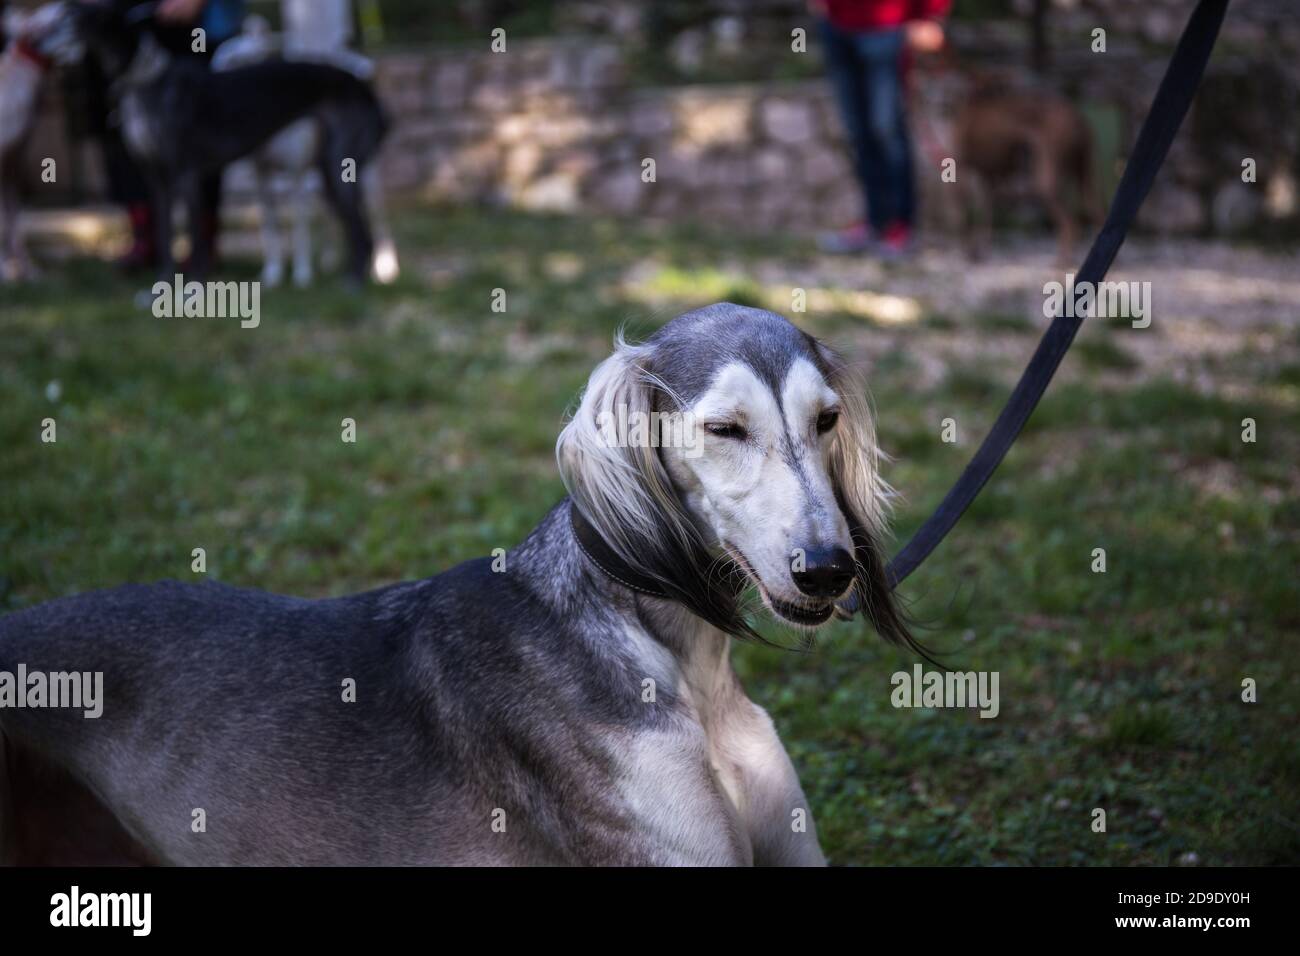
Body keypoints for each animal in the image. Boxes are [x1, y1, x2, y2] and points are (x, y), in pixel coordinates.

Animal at [70, 0, 387, 283]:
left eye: (90, 15)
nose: (69, 13)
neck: (149, 81)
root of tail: (365, 88)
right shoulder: (164, 177)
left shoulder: (189, 174)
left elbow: (202, 235)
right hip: (328, 174)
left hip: (338, 169)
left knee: (363, 230)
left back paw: (359, 279)